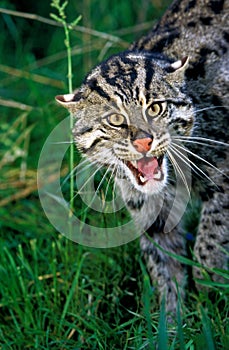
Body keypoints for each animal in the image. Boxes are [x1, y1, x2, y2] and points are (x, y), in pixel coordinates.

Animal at [56, 0, 229, 314]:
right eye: (115, 119)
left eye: (155, 108)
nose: (143, 141)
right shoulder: (150, 210)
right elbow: (163, 266)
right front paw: (172, 319)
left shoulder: (225, 174)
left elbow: (209, 242)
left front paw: (212, 296)